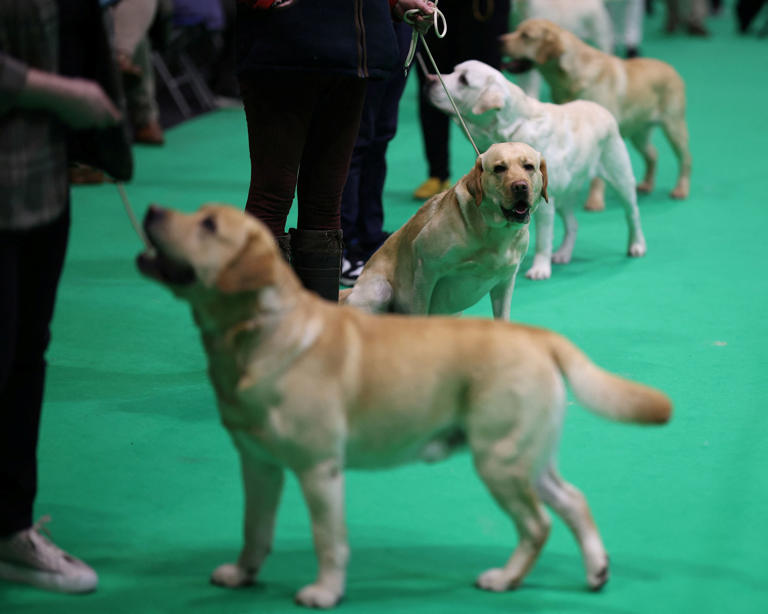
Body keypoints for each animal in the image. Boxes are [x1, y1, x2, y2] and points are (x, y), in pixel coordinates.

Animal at [340, 143, 544, 320]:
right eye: (499, 168)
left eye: (529, 166)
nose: (520, 186)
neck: (493, 231)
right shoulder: (425, 271)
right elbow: (420, 313)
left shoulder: (505, 282)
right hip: (380, 291)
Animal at [426, 60, 640, 282]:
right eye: (453, 71)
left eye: (464, 80)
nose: (429, 80)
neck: (511, 128)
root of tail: (601, 109)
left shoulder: (544, 204)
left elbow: (542, 240)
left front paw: (540, 269)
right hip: (564, 194)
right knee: (573, 224)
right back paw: (563, 254)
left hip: (619, 177)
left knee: (632, 213)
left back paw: (636, 246)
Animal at [504, 18, 688, 201]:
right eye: (516, 30)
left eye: (525, 36)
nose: (500, 40)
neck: (571, 76)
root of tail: (672, 69)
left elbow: (597, 177)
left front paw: (594, 201)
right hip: (639, 133)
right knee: (653, 155)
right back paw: (647, 184)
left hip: (674, 128)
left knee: (686, 159)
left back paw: (681, 189)